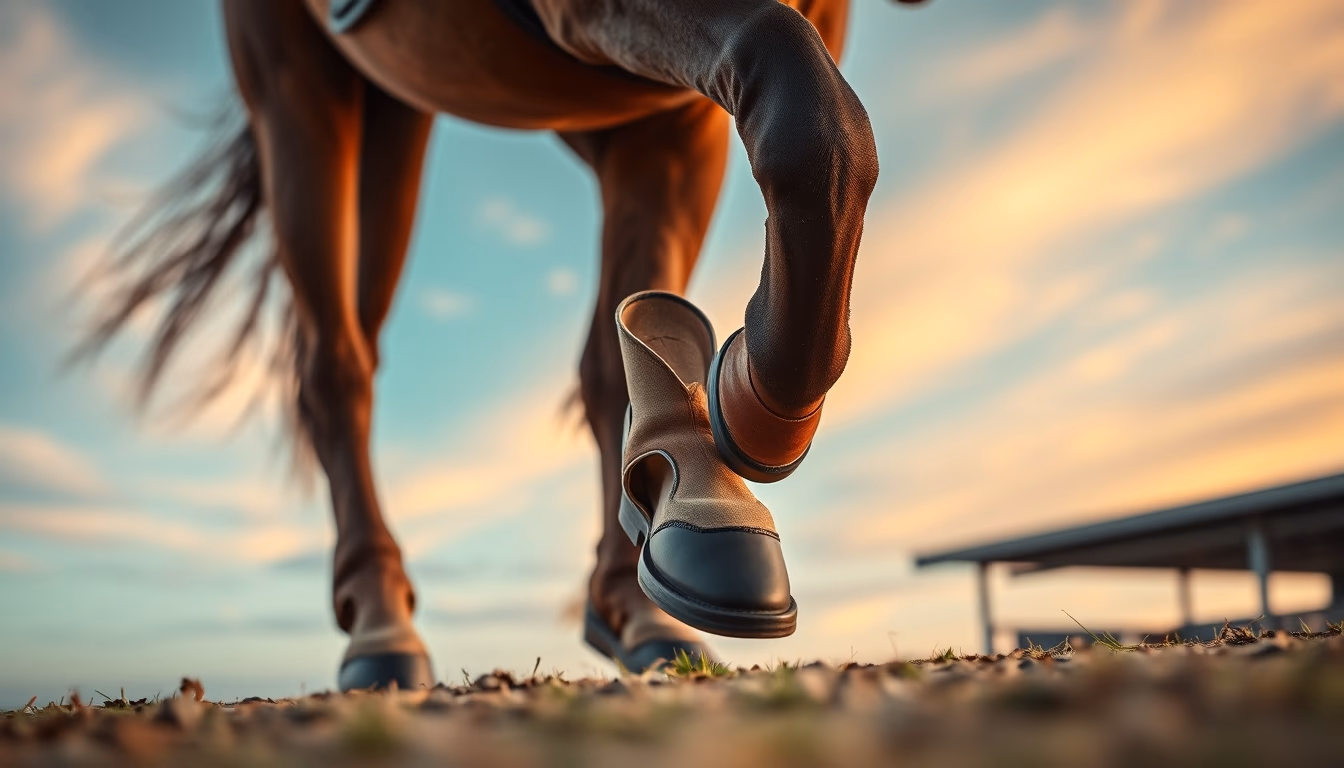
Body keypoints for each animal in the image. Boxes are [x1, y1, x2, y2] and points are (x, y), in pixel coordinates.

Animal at [85, 0, 926, 689]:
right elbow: (813, 123)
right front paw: (741, 401)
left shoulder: (663, 119)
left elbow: (617, 360)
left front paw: (635, 604)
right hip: (294, 89)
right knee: (332, 365)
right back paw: (379, 625)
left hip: (402, 109)